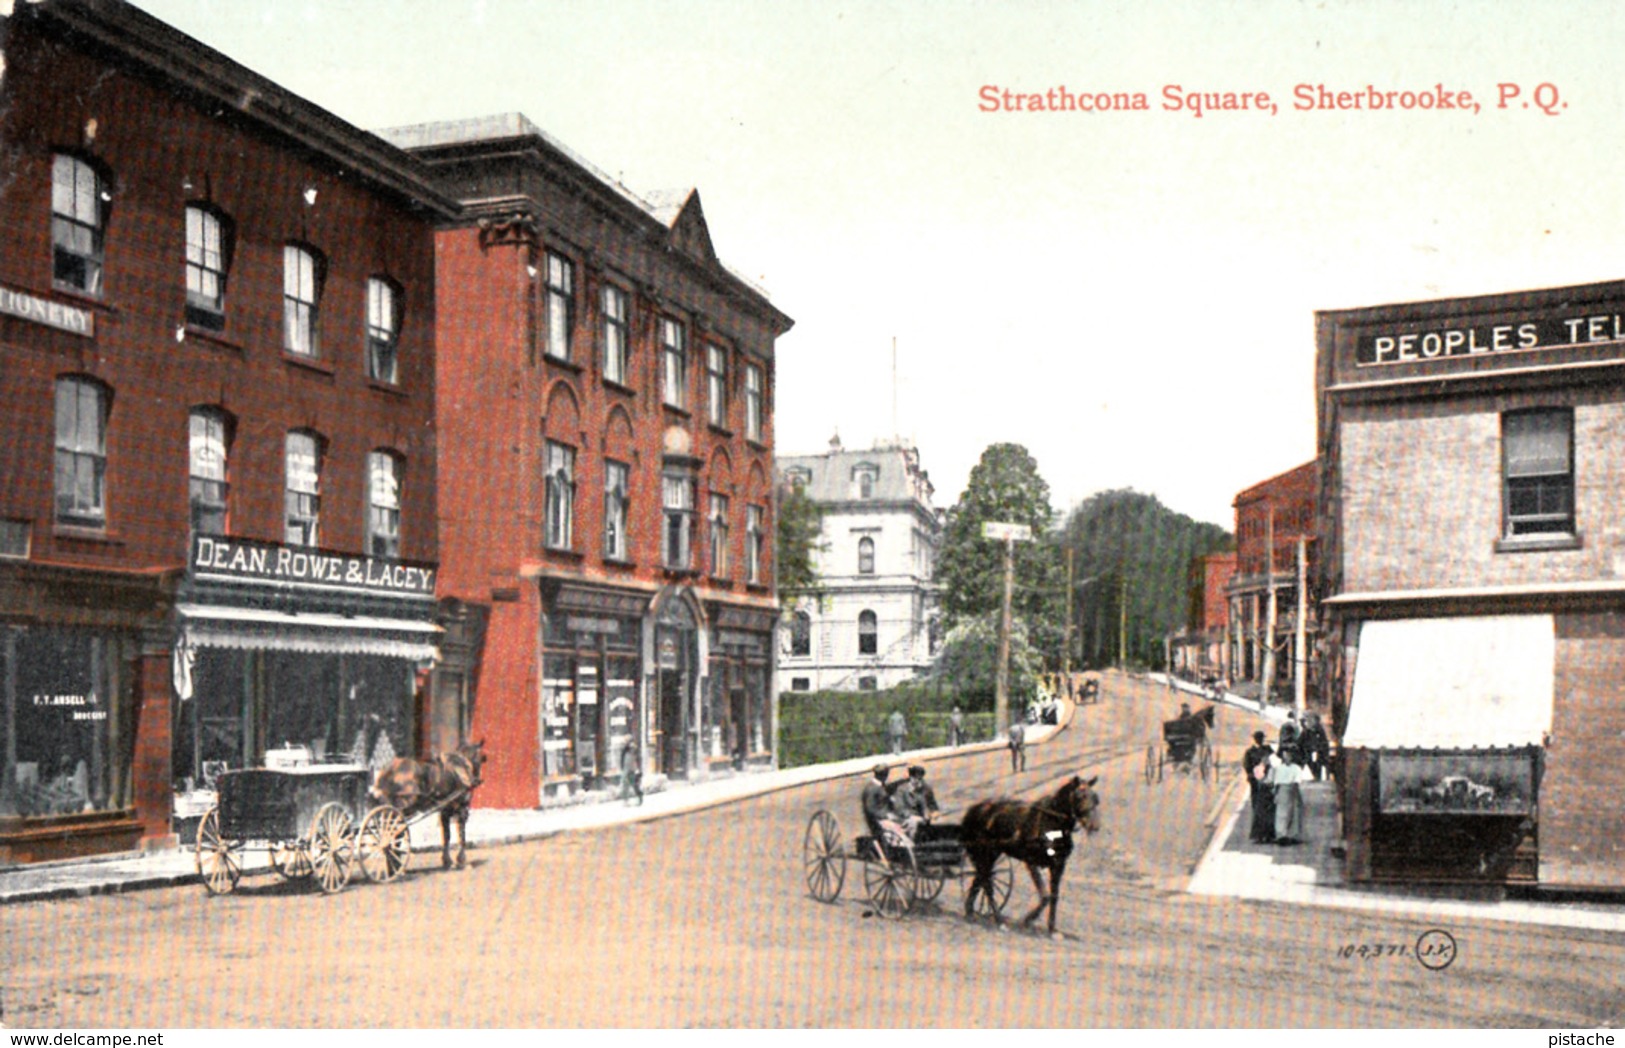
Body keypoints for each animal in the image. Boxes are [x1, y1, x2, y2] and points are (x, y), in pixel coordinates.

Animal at [370, 734, 484, 864]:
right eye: (481, 758)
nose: (477, 781)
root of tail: (390, 770)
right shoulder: (462, 809)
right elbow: (461, 834)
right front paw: (460, 858)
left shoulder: (444, 811)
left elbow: (446, 835)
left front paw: (446, 859)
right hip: (404, 809)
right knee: (396, 833)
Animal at [962, 773, 1105, 935]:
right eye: (1080, 796)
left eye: (1096, 798)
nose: (1094, 826)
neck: (1051, 824)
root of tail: (975, 809)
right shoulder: (1031, 862)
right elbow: (1045, 895)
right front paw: (1028, 919)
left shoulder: (1058, 865)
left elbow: (1054, 895)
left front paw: (1052, 929)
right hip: (987, 853)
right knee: (987, 883)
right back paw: (998, 919)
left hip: (991, 854)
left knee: (981, 878)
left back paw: (970, 912)